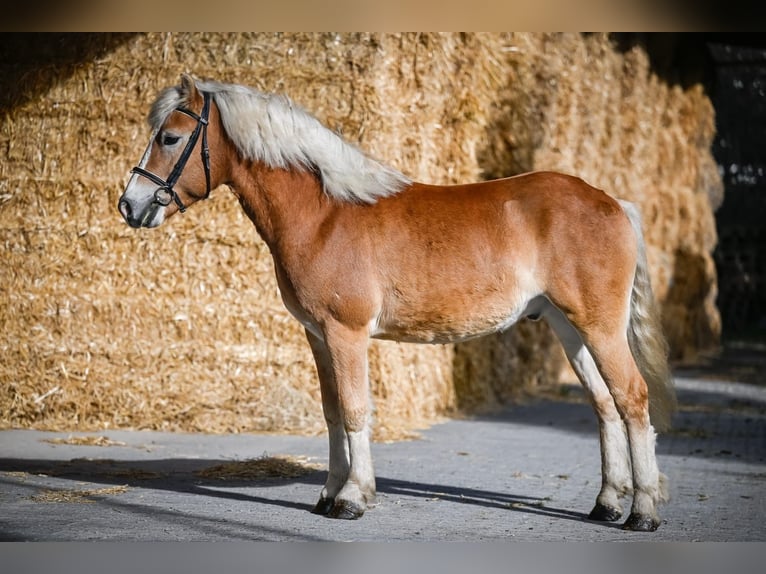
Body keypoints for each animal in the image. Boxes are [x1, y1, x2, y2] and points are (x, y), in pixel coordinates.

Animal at [118, 74, 680, 532]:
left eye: (170, 137)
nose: (129, 205)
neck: (324, 214)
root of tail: (612, 202)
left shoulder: (346, 333)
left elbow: (354, 410)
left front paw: (351, 498)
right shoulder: (318, 336)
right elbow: (330, 412)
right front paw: (328, 493)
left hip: (599, 327)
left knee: (632, 399)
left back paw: (642, 512)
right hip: (569, 328)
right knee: (605, 405)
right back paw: (606, 504)